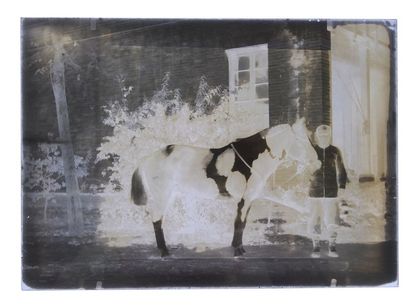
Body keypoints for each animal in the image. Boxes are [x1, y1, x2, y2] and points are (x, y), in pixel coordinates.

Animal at [130, 116, 318, 256]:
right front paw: (237, 251)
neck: (251, 159)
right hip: (162, 194)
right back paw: (164, 251)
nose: (317, 161)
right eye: (301, 141)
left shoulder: (253, 196)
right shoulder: (243, 198)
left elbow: (243, 222)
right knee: (156, 219)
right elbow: (239, 223)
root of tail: (147, 159)